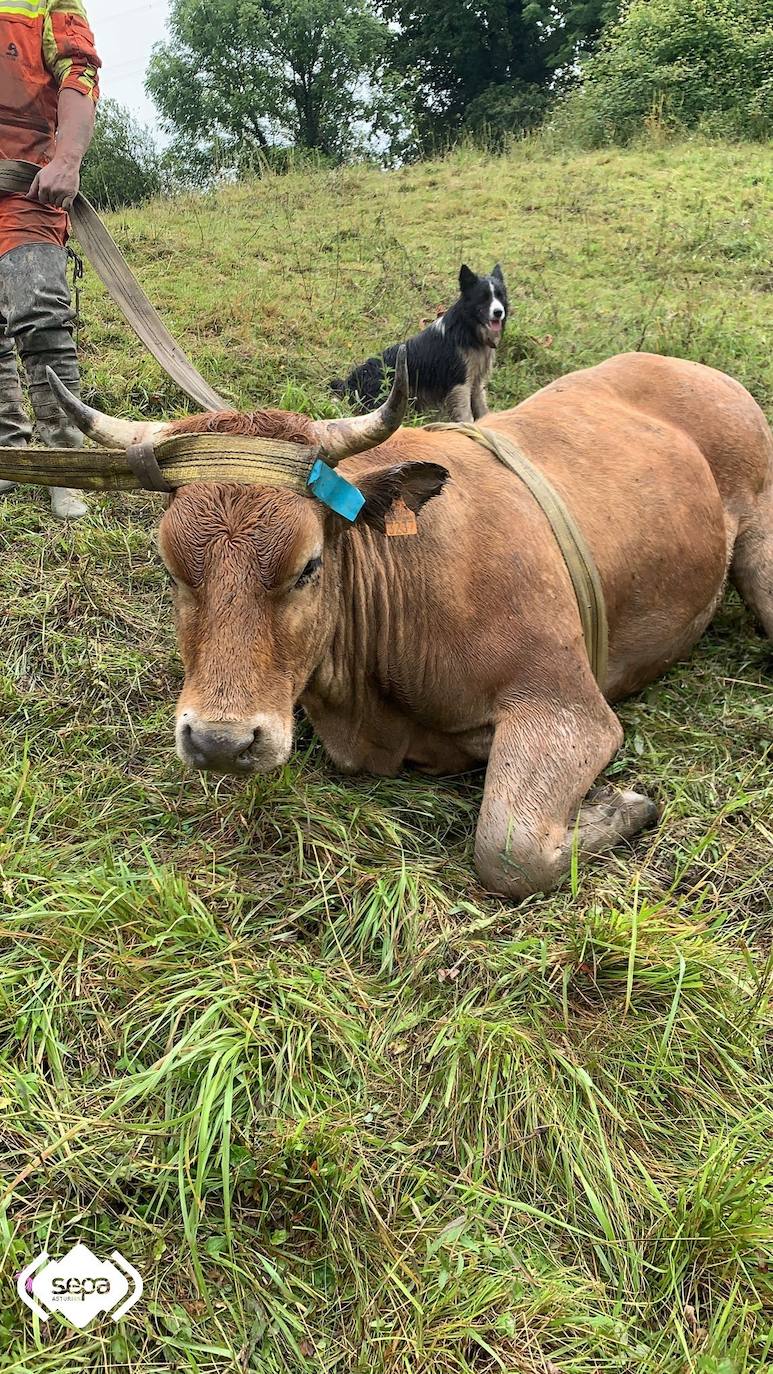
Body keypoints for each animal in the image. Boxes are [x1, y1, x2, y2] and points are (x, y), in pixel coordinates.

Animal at [51, 351, 768, 901]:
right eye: (172, 567)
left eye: (309, 565)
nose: (220, 743)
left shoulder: (567, 704)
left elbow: (507, 848)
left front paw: (624, 807)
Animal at [330, 262, 508, 420]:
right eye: (483, 297)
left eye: (500, 296)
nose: (499, 312)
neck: (469, 329)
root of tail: (349, 382)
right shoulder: (460, 383)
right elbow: (467, 415)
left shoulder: (477, 381)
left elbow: (482, 408)